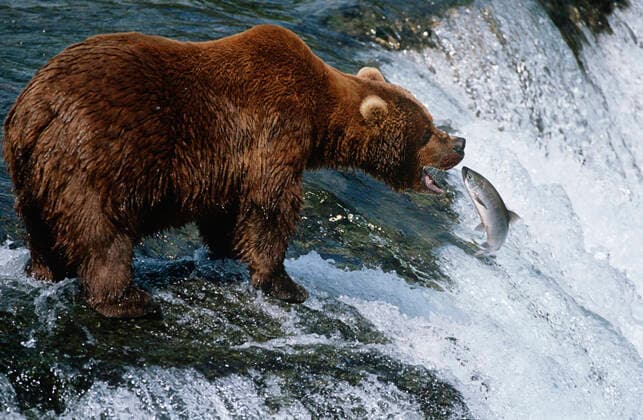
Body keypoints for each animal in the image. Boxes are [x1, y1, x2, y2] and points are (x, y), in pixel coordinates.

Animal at [3, 25, 465, 318]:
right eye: (427, 131)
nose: (459, 143)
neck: (319, 116)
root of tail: (36, 107)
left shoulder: (228, 164)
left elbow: (227, 213)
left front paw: (226, 250)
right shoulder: (275, 130)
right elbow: (270, 207)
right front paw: (285, 284)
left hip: (33, 171)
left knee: (42, 227)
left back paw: (43, 271)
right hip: (98, 158)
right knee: (103, 232)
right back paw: (128, 301)